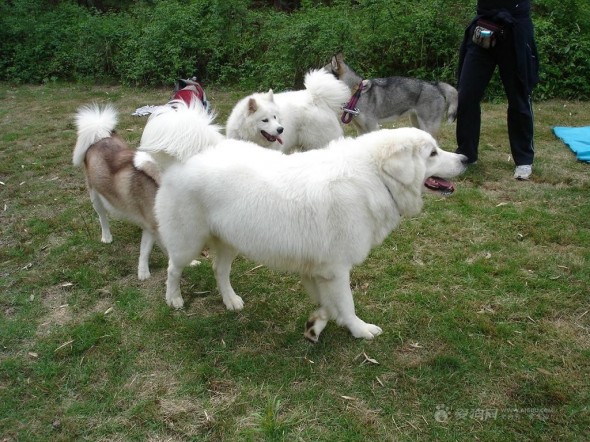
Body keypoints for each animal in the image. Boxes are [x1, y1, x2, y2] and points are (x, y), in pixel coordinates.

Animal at [155, 128, 470, 342]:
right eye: (433, 153)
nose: (465, 158)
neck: (375, 177)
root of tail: (184, 159)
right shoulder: (336, 270)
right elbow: (346, 304)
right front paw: (360, 330)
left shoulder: (318, 270)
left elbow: (329, 305)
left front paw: (317, 324)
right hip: (188, 242)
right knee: (173, 269)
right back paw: (174, 299)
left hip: (230, 240)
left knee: (219, 270)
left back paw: (230, 300)